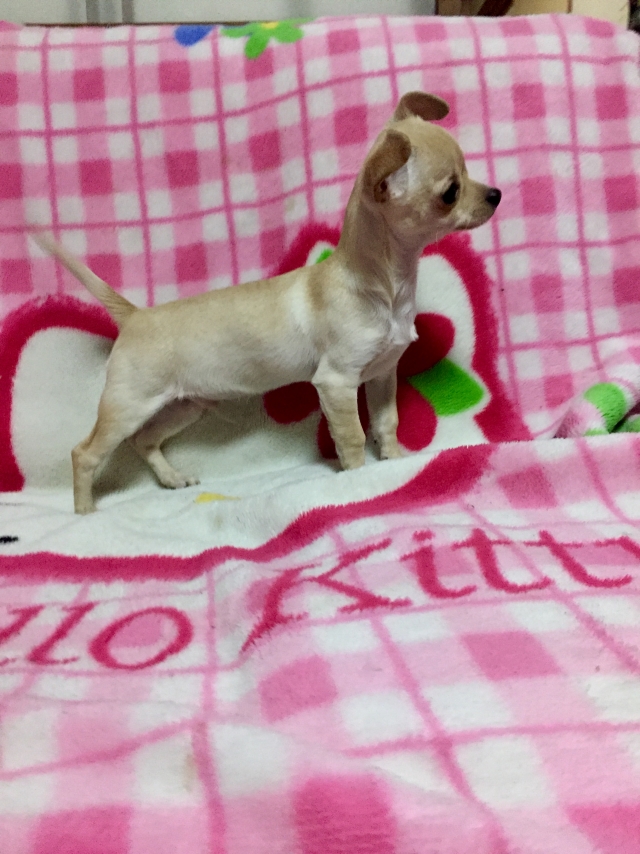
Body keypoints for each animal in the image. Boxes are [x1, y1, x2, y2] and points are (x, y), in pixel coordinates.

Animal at [33, 91, 501, 513]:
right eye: (451, 192)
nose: (495, 193)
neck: (386, 286)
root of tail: (135, 315)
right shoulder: (337, 382)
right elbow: (351, 436)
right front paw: (358, 480)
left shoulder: (382, 374)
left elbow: (387, 424)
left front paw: (396, 463)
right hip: (129, 404)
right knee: (86, 452)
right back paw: (85, 513)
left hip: (186, 405)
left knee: (143, 440)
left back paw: (171, 478)